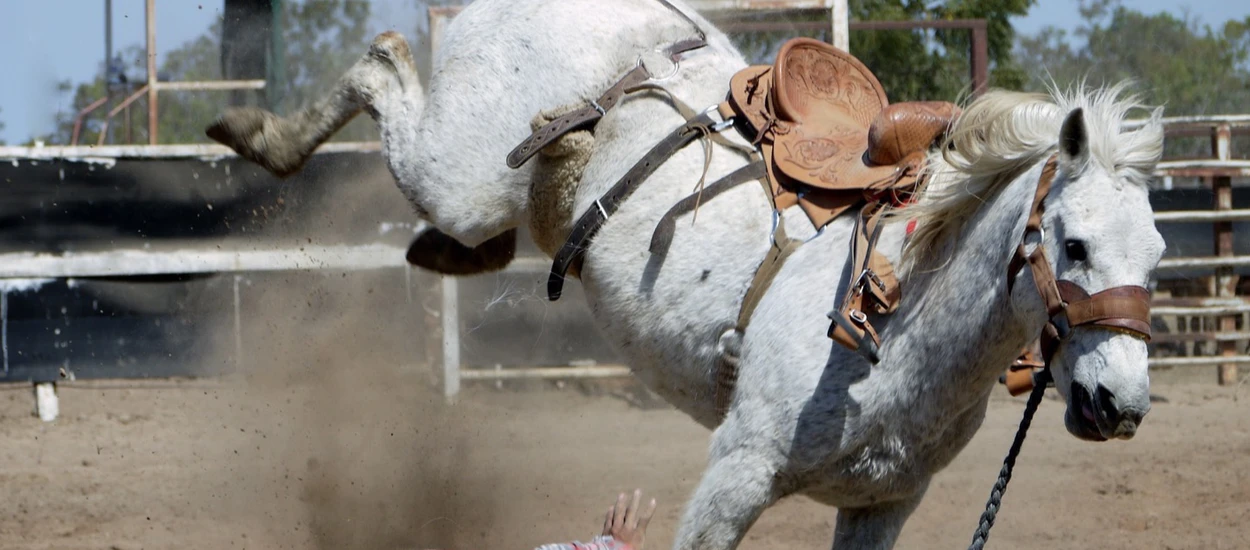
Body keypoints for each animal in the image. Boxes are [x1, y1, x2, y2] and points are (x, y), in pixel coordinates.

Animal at [200, 2, 1165, 547]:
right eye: (1074, 244)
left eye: (1157, 256)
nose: (1120, 405)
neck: (896, 323)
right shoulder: (736, 473)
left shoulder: (883, 504)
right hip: (459, 172)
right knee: (382, 62)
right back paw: (257, 133)